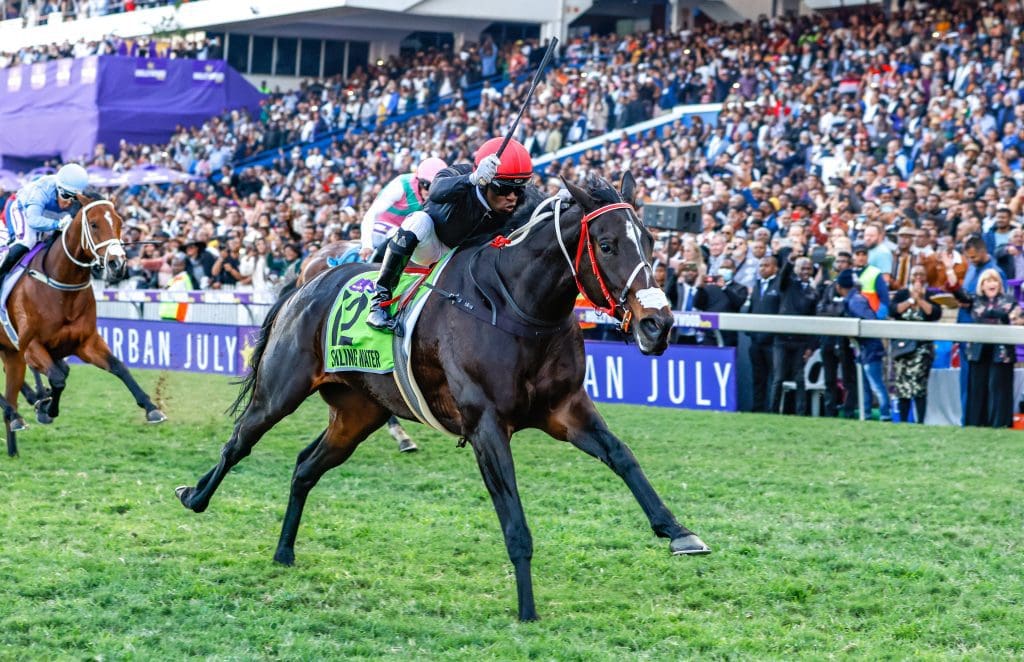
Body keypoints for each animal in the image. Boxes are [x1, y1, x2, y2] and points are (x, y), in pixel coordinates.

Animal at [1, 196, 165, 457]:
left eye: (119, 221)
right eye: (94, 224)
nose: (118, 263)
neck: (60, 286)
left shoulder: (86, 342)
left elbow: (119, 367)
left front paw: (151, 407)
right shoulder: (30, 346)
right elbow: (58, 378)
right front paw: (48, 408)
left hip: (10, 352)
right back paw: (18, 412)